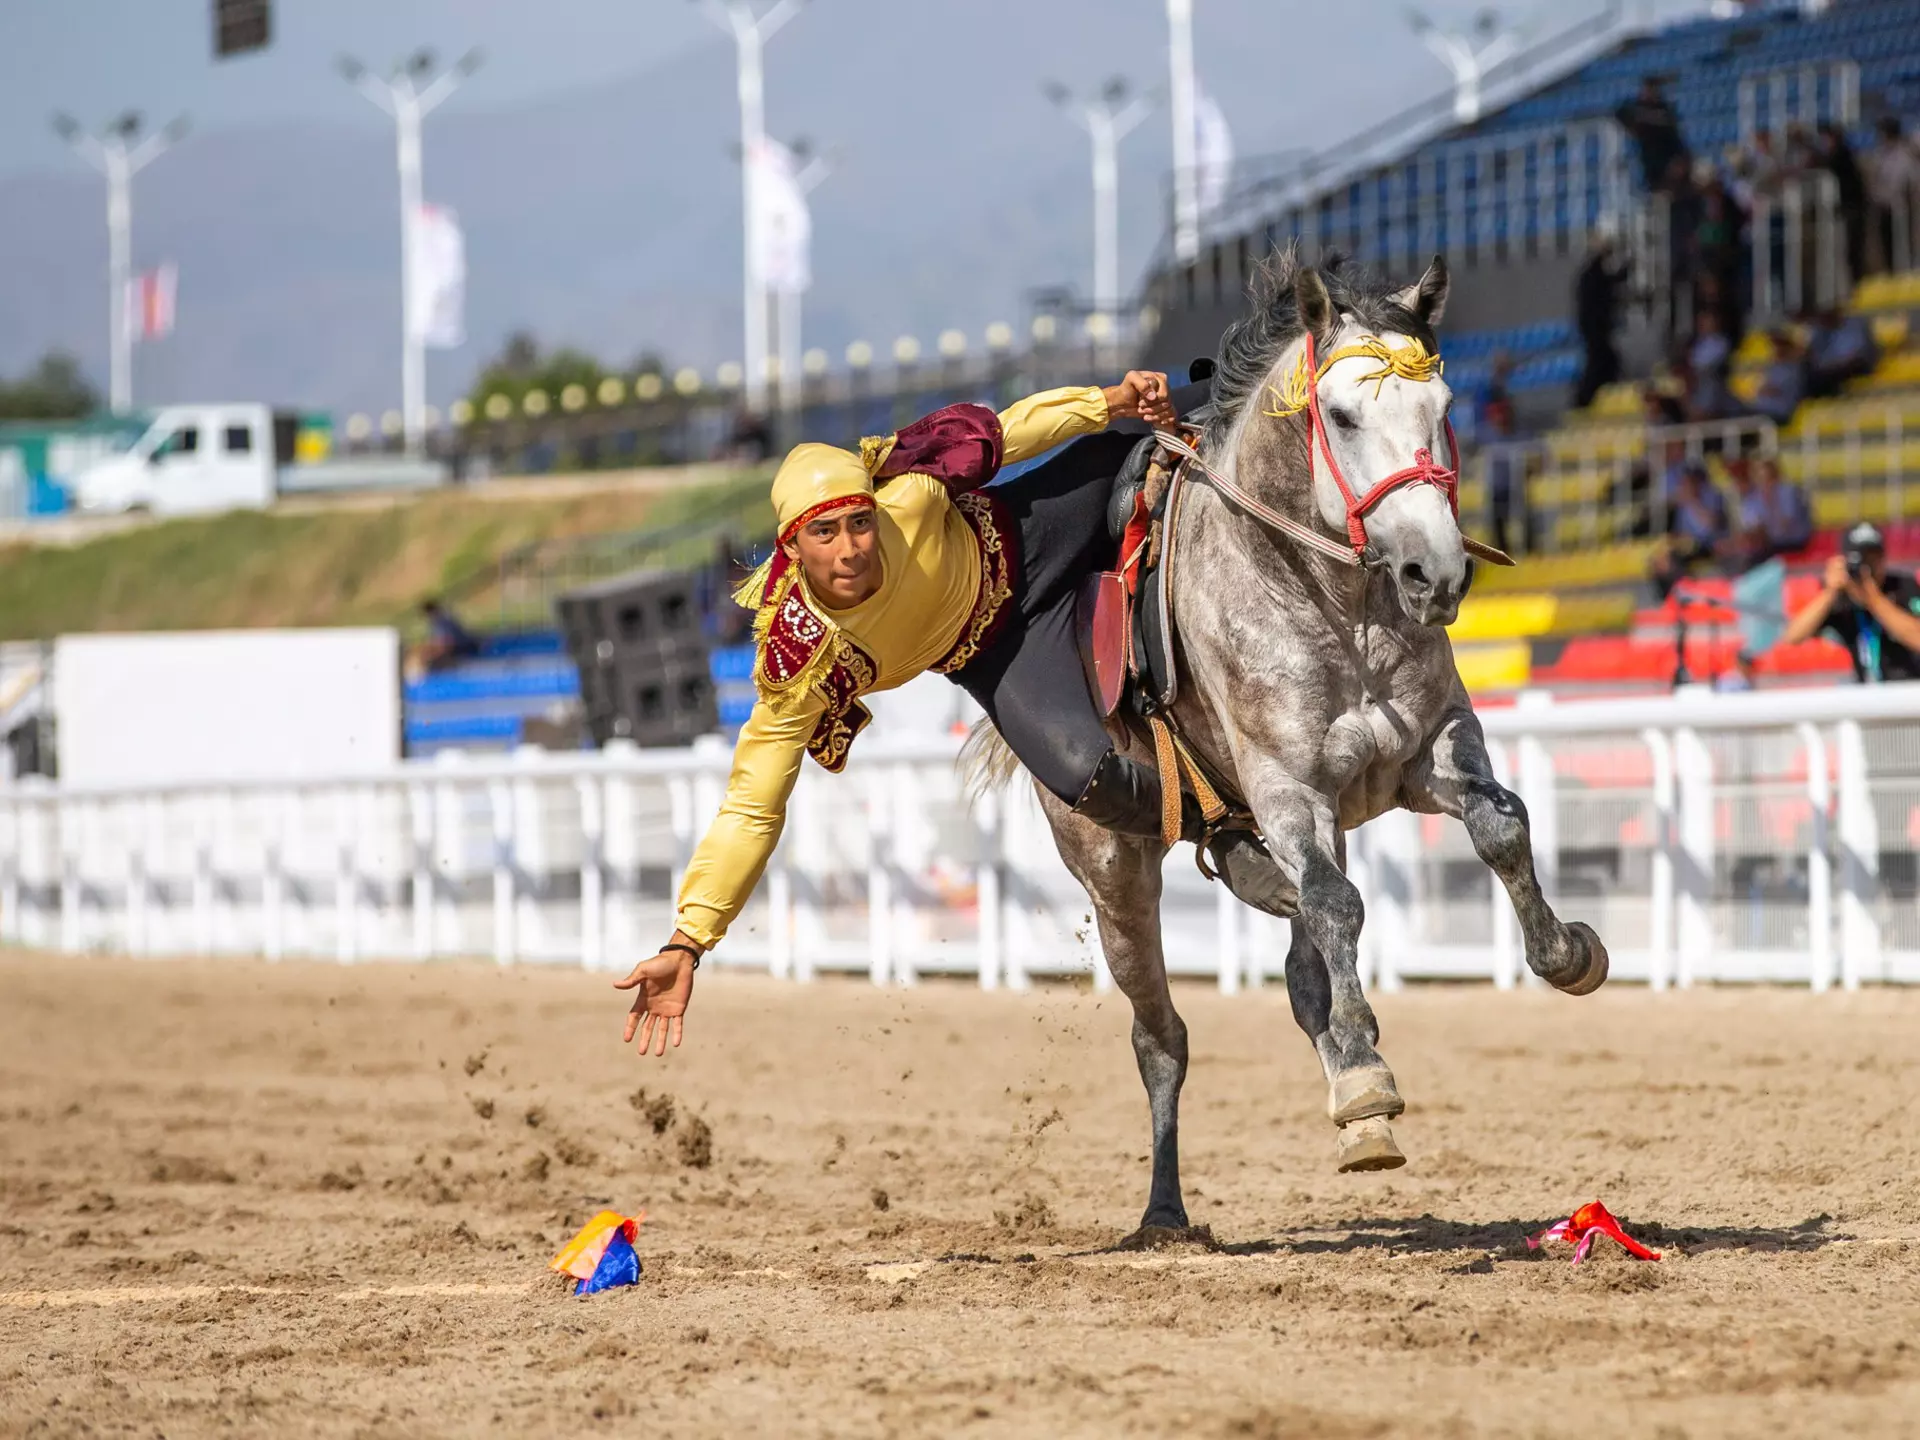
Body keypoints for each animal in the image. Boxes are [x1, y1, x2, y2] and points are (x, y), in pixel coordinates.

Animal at [971, 245, 1609, 1241]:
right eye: (1341, 415)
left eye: (1444, 406)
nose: (1436, 573)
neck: (1335, 605)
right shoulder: (1287, 791)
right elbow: (1341, 906)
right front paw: (1370, 1079)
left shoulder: (1429, 751)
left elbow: (1499, 824)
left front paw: (1565, 953)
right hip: (1116, 873)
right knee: (1163, 1035)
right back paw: (1169, 1208)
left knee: (1303, 960)